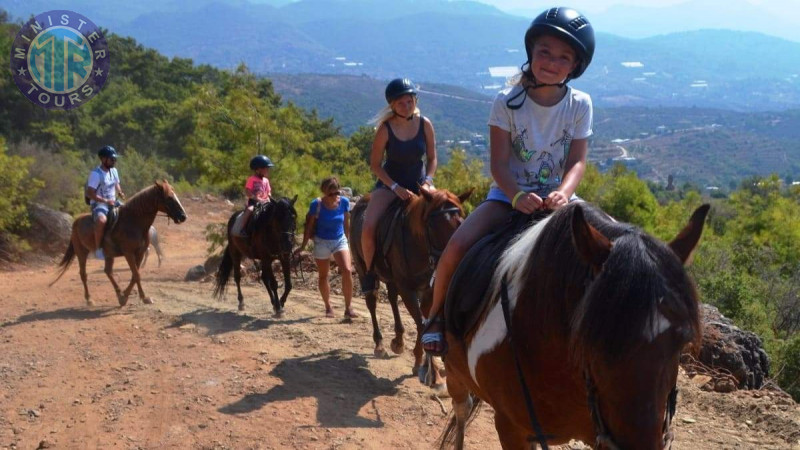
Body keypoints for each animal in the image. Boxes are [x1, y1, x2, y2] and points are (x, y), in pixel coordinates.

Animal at [51, 181, 188, 308]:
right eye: (169, 198)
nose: (183, 216)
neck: (133, 222)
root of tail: (76, 221)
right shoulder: (128, 253)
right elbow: (136, 274)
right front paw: (136, 297)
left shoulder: (140, 252)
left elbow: (135, 274)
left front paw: (127, 296)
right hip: (81, 253)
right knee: (84, 274)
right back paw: (89, 299)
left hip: (108, 255)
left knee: (108, 271)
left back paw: (118, 292)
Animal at [352, 187, 476, 394]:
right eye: (432, 225)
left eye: (461, 221)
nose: (449, 260)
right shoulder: (407, 288)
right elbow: (421, 323)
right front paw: (433, 373)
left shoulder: (428, 290)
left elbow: (425, 321)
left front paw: (423, 365)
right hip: (364, 270)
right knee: (372, 301)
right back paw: (380, 344)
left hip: (391, 278)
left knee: (392, 298)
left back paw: (398, 341)